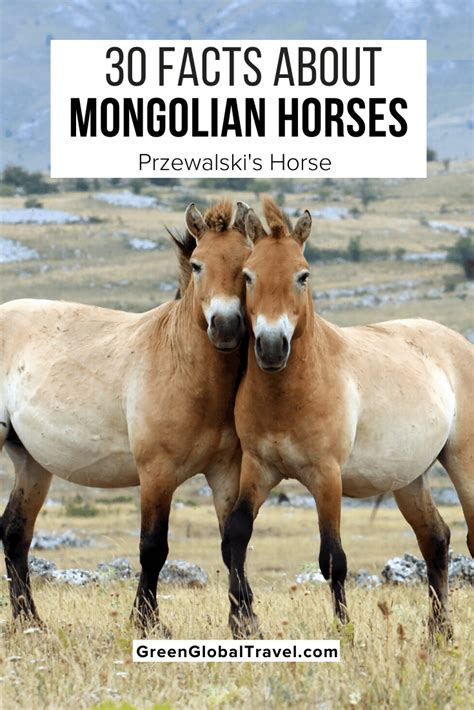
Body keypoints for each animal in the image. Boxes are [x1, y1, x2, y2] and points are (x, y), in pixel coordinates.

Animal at [0, 199, 251, 633]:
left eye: (246, 264)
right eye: (198, 264)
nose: (225, 326)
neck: (182, 366)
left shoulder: (225, 472)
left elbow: (231, 543)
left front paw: (245, 622)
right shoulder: (156, 473)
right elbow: (153, 547)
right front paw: (146, 621)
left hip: (32, 462)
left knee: (15, 532)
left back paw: (30, 619)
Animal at [223, 196, 473, 640]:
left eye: (303, 276)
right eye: (248, 276)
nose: (271, 347)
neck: (290, 395)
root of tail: (457, 341)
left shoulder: (327, 477)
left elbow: (333, 559)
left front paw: (344, 631)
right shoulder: (259, 468)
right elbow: (237, 534)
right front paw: (242, 625)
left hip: (462, 461)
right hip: (409, 479)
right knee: (436, 539)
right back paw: (439, 632)